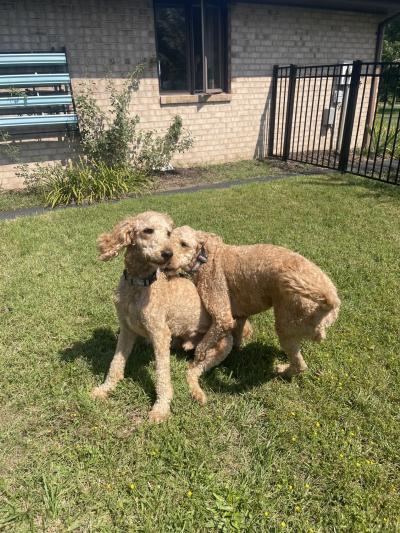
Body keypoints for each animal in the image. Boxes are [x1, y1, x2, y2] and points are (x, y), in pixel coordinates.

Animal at [93, 210, 250, 422]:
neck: (138, 284)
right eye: (147, 230)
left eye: (168, 233)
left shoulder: (160, 334)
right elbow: (116, 364)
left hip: (221, 346)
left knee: (191, 371)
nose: (168, 254)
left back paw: (198, 394)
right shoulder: (126, 329)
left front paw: (160, 409)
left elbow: (162, 376)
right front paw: (105, 389)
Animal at [166, 224, 340, 404]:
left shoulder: (222, 316)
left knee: (300, 365)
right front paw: (239, 349)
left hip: (285, 326)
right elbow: (238, 335)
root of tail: (331, 300)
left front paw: (199, 354)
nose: (166, 259)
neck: (204, 259)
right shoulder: (240, 316)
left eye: (184, 244)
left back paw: (282, 371)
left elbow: (205, 344)